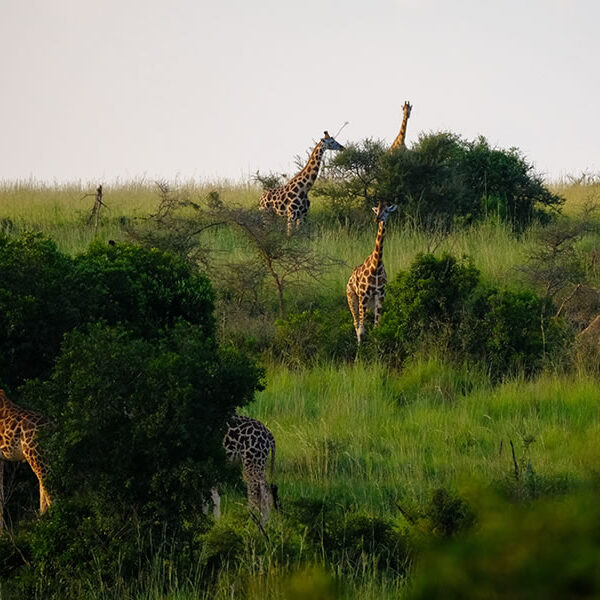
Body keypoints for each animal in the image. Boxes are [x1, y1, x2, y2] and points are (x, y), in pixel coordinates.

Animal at [346, 200, 398, 342]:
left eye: (386, 211)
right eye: (376, 211)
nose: (377, 219)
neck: (376, 266)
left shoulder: (380, 295)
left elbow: (376, 327)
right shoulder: (363, 295)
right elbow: (361, 329)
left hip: (370, 303)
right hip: (352, 298)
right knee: (356, 323)